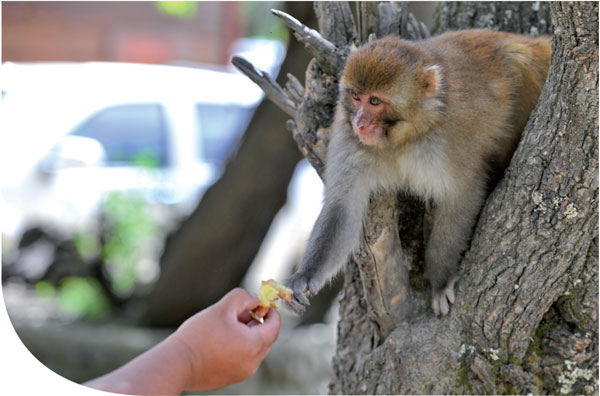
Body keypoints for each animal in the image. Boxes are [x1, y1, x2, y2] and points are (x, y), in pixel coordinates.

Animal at [286, 28, 552, 316]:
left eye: (375, 101)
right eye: (356, 96)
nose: (360, 123)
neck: (403, 137)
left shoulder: (451, 140)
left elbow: (460, 197)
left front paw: (440, 280)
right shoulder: (349, 136)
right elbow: (342, 207)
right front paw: (304, 278)